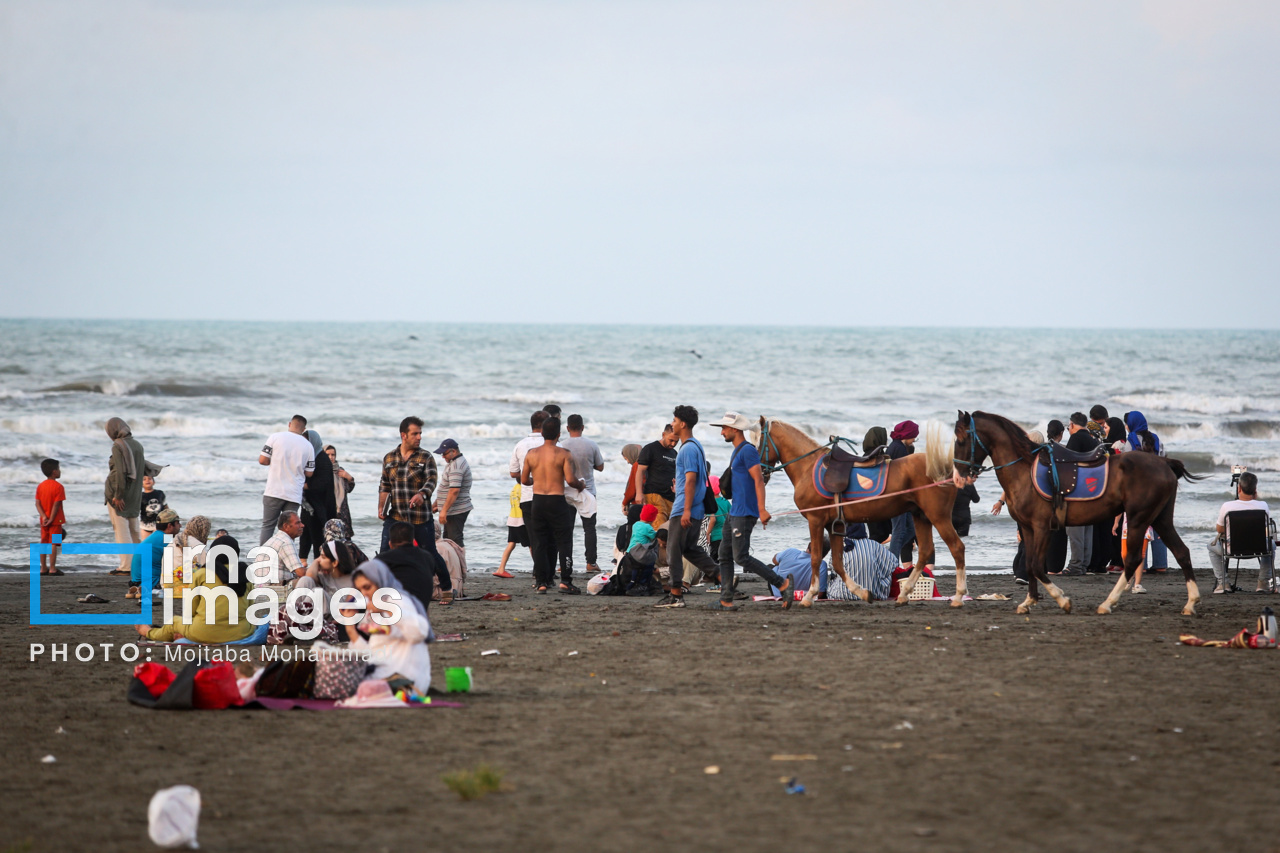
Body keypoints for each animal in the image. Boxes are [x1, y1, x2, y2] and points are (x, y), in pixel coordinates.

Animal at [747, 417, 967, 604]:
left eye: (759, 441)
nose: (760, 470)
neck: (808, 468)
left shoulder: (815, 520)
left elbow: (816, 558)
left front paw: (809, 596)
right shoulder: (833, 526)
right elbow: (837, 562)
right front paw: (862, 592)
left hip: (938, 517)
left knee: (957, 547)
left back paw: (958, 596)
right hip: (920, 516)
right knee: (925, 551)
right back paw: (904, 593)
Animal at [952, 409, 1208, 614]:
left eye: (962, 439)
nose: (957, 476)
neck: (1024, 470)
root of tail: (1164, 463)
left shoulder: (1042, 527)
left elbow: (1036, 565)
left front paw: (1061, 599)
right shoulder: (1027, 528)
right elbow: (1030, 565)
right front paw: (1029, 601)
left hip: (1138, 519)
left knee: (1133, 560)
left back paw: (1108, 603)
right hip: (1160, 518)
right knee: (1182, 552)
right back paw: (1191, 602)